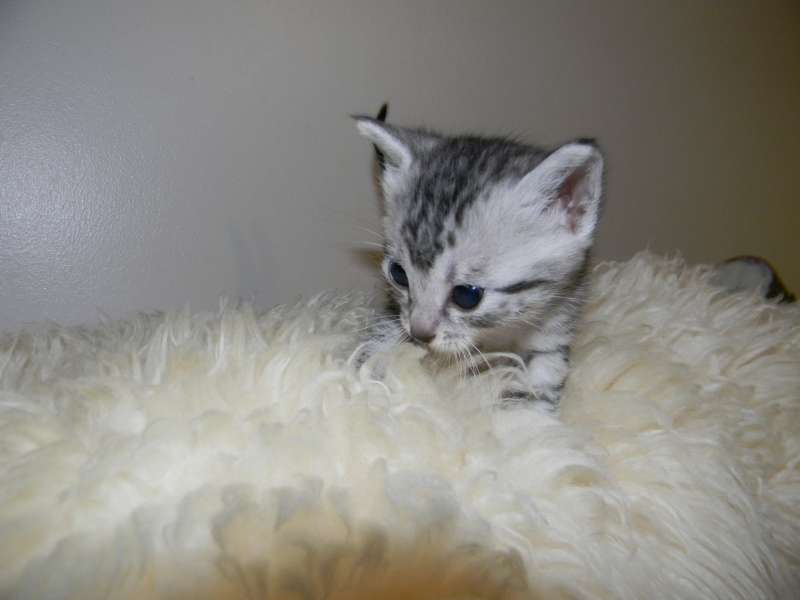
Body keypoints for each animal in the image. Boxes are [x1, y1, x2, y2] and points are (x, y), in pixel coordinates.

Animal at [353, 108, 604, 413]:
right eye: (399, 274)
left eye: (467, 295)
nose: (419, 334)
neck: (497, 335)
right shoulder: (395, 315)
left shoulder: (556, 326)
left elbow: (538, 387)